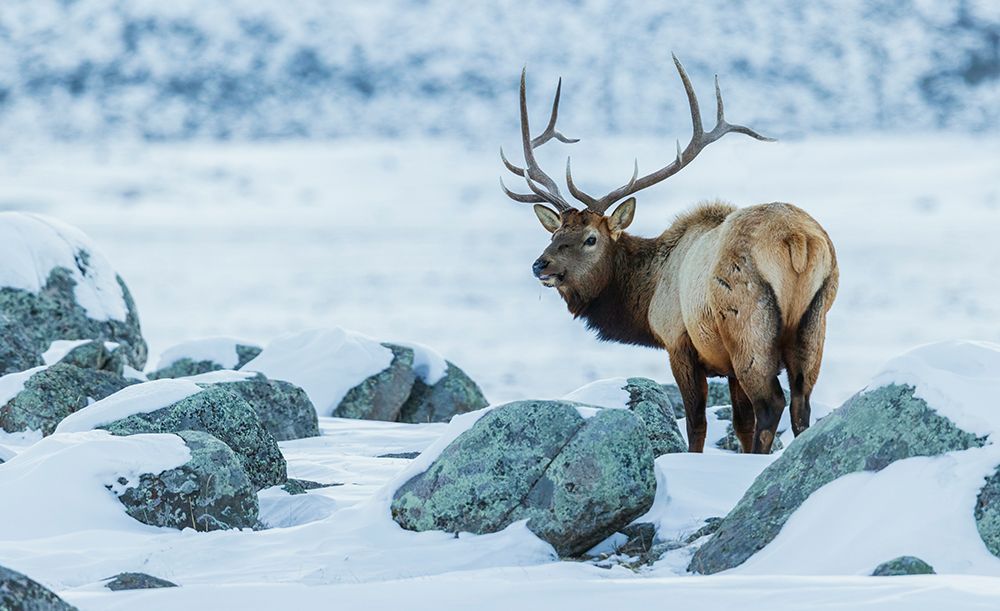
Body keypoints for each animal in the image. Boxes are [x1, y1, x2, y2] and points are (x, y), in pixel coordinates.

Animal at [499, 55, 838, 454]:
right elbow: (740, 424)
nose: (541, 265)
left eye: (591, 238)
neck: (646, 297)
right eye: (554, 233)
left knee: (771, 404)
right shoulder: (724, 363)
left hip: (747, 322)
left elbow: (697, 425)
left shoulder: (679, 343)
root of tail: (797, 240)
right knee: (801, 404)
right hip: (814, 320)